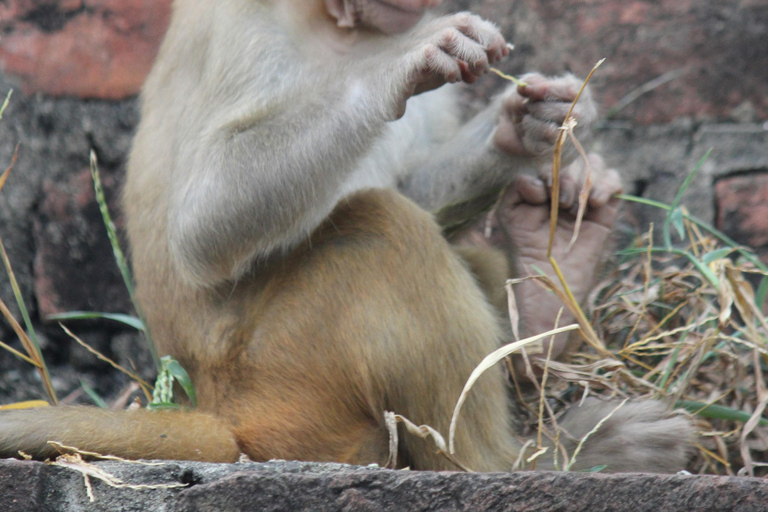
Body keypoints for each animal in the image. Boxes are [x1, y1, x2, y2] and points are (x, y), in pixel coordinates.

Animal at [0, 0, 692, 472]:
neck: (337, 25)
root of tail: (221, 410)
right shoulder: (240, 25)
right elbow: (204, 222)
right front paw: (398, 66)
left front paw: (524, 125)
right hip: (290, 380)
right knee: (384, 228)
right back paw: (537, 460)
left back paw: (548, 293)